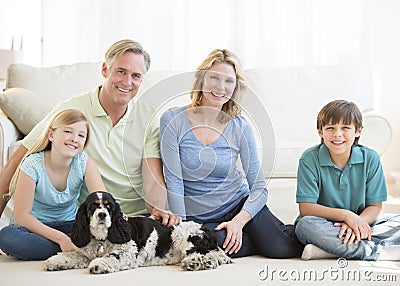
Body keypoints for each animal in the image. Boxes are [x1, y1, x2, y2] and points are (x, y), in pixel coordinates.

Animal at [43, 191, 231, 274]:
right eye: (92, 207)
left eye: (109, 207)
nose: (102, 215)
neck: (102, 238)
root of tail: (209, 234)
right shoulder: (84, 253)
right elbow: (73, 255)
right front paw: (55, 262)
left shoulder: (129, 250)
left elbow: (113, 256)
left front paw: (100, 264)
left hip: (183, 234)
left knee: (210, 255)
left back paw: (197, 263)